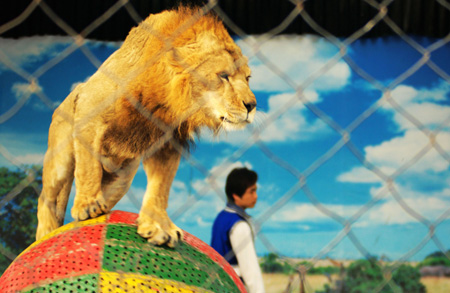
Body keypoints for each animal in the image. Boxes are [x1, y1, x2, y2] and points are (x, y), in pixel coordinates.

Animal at [36, 6, 256, 246]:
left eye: (248, 78)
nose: (252, 105)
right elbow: (88, 167)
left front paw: (159, 226)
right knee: (47, 199)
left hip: (121, 179)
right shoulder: (89, 112)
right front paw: (88, 204)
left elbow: (160, 187)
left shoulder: (167, 142)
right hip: (60, 161)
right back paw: (46, 233)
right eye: (224, 76)